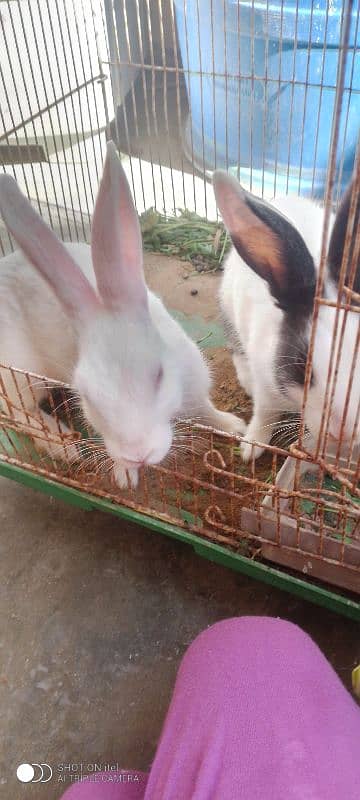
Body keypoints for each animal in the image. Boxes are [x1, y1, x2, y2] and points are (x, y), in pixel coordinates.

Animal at [0, 141, 245, 488]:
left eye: (159, 375)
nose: (138, 455)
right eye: (88, 397)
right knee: (17, 413)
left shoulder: (194, 382)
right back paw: (63, 445)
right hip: (19, 376)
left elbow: (207, 410)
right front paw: (124, 476)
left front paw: (234, 427)